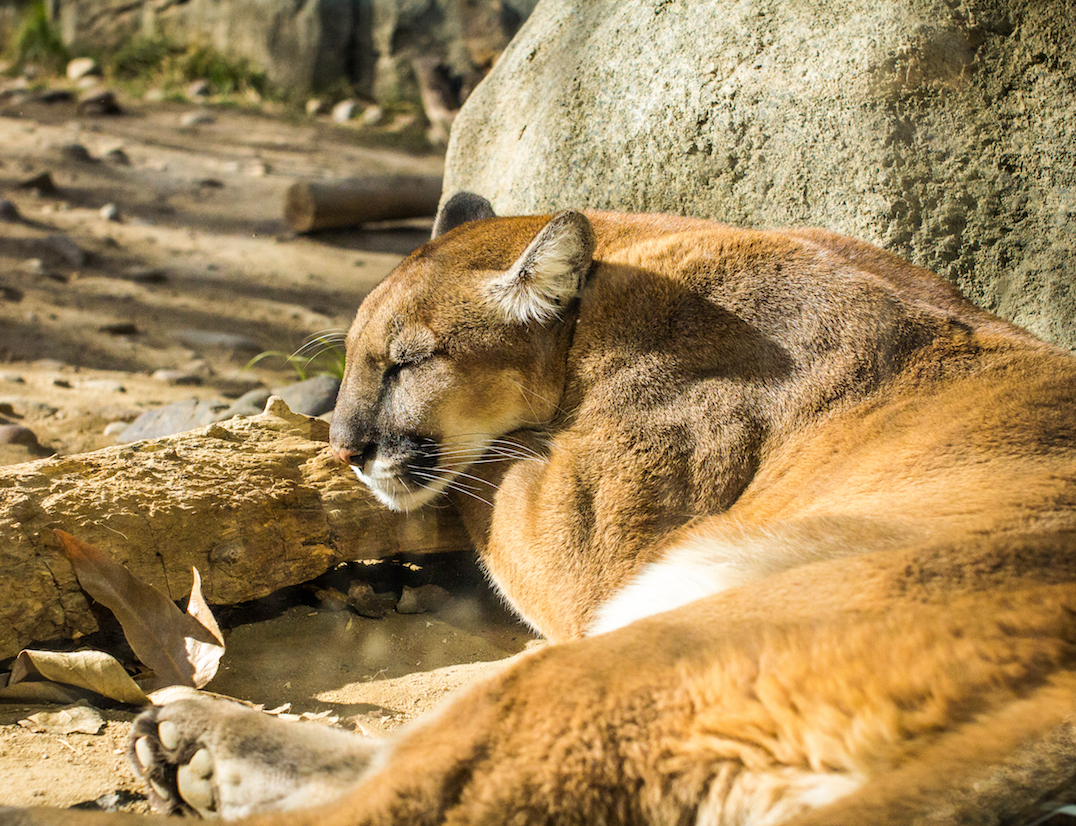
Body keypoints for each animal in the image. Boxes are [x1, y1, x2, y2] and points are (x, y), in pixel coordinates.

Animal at [7, 193, 1076, 826]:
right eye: (350, 359)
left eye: (406, 360)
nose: (344, 448)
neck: (630, 267)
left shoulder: (583, 546)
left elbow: (487, 482)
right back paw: (193, 742)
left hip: (649, 648)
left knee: (437, 784)